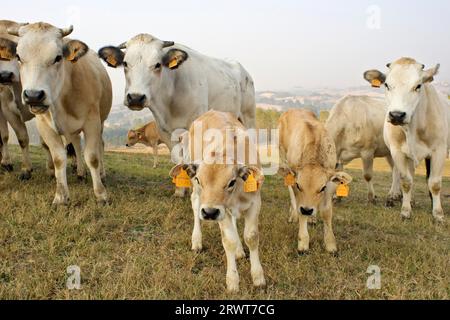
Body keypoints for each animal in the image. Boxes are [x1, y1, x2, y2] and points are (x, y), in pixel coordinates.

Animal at [0, 23, 112, 206]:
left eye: (58, 57)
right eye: (18, 57)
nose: (33, 95)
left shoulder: (92, 122)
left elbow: (92, 156)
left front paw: (101, 195)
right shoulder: (43, 125)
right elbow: (59, 158)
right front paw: (60, 197)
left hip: (101, 121)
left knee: (99, 145)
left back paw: (101, 174)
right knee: (76, 144)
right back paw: (80, 173)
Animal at [171, 111, 266, 294]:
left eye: (231, 182)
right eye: (199, 179)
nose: (209, 213)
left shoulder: (254, 203)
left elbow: (251, 237)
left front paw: (258, 277)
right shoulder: (220, 211)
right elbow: (228, 241)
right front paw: (233, 281)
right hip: (198, 196)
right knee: (195, 204)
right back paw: (197, 241)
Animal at [276, 109, 354, 254]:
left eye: (322, 188)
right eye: (299, 185)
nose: (307, 210)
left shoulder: (330, 183)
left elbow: (326, 212)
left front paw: (330, 244)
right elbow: (299, 206)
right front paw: (303, 243)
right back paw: (294, 215)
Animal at [364, 57, 448, 221]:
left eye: (418, 86)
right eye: (387, 85)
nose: (397, 115)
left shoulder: (439, 151)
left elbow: (435, 183)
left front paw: (438, 213)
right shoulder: (397, 151)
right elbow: (406, 181)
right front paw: (405, 210)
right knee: (400, 172)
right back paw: (396, 197)